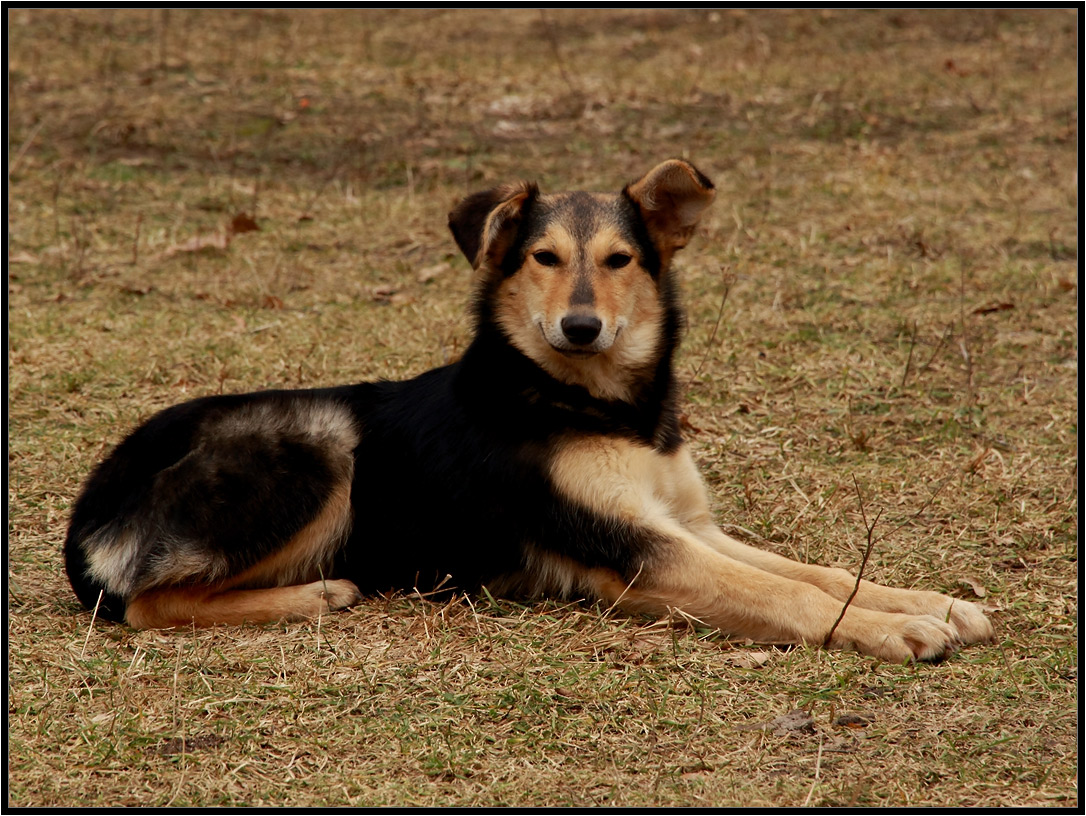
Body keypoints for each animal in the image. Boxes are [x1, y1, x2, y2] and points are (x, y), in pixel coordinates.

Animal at [61, 159, 994, 664]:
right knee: (144, 606)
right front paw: (894, 629)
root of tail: (86, 517)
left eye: (620, 260)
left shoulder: (682, 523)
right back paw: (317, 594)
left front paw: (928, 601)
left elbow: (817, 571)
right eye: (542, 258)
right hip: (321, 444)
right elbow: (787, 594)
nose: (581, 327)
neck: (595, 402)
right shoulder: (635, 548)